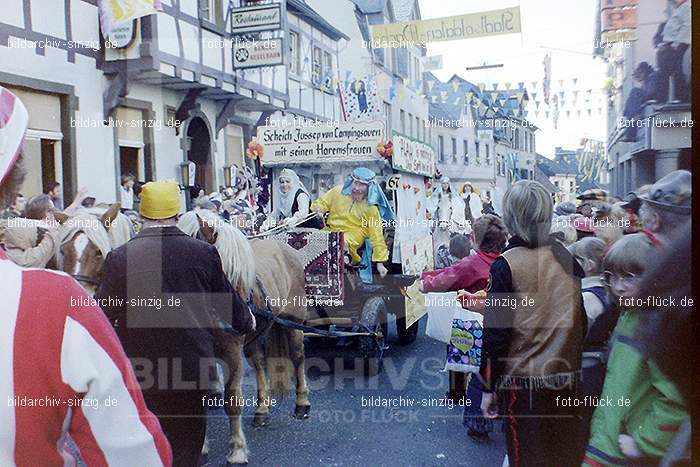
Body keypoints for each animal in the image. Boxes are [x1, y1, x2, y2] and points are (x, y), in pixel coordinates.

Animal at [178, 210, 308, 466]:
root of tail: (284, 246)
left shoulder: (232, 351)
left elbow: (232, 400)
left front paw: (237, 451)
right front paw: (201, 448)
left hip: (293, 321)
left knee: (298, 357)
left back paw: (302, 405)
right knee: (259, 366)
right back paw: (262, 411)